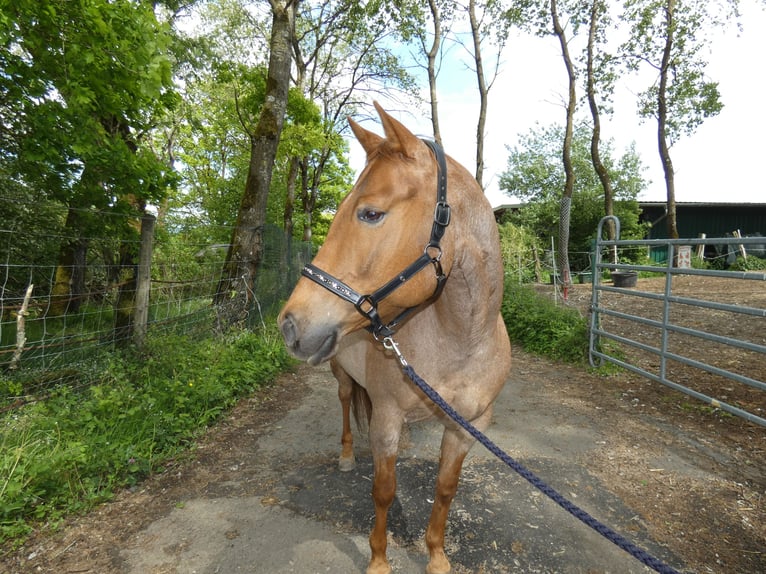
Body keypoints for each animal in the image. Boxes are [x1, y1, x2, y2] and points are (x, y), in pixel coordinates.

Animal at [278, 102, 511, 574]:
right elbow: (383, 491)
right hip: (341, 377)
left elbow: (445, 489)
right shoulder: (386, 417)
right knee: (346, 405)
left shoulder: (467, 427)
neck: (460, 344)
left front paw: (436, 556)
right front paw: (379, 561)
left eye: (370, 213)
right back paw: (347, 456)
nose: (289, 325)